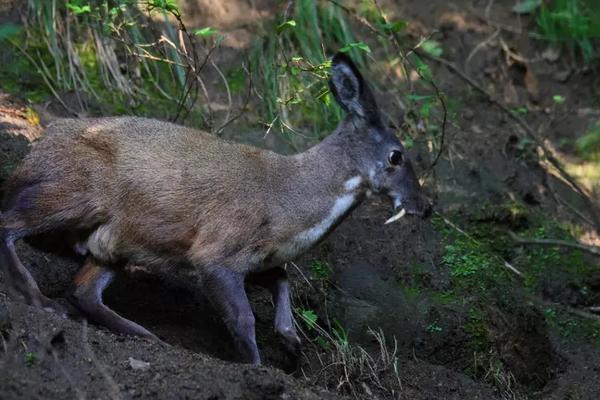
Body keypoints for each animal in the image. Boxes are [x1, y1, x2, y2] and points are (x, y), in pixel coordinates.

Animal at [0, 52, 432, 362]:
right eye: (396, 156)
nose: (425, 206)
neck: (286, 204)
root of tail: (35, 150)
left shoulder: (253, 254)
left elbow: (281, 279)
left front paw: (290, 341)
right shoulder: (216, 248)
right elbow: (243, 317)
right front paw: (256, 366)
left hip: (115, 240)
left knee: (83, 289)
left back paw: (144, 335)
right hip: (76, 192)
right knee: (8, 224)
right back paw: (38, 299)